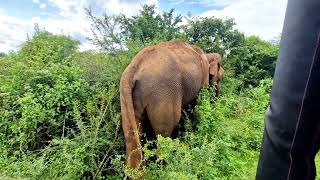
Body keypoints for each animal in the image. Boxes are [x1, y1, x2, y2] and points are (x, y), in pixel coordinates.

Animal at [119, 40, 224, 168]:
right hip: (163, 95)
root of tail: (133, 68)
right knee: (165, 132)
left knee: (132, 134)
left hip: (127, 98)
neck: (207, 55)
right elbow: (196, 104)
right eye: (220, 79)